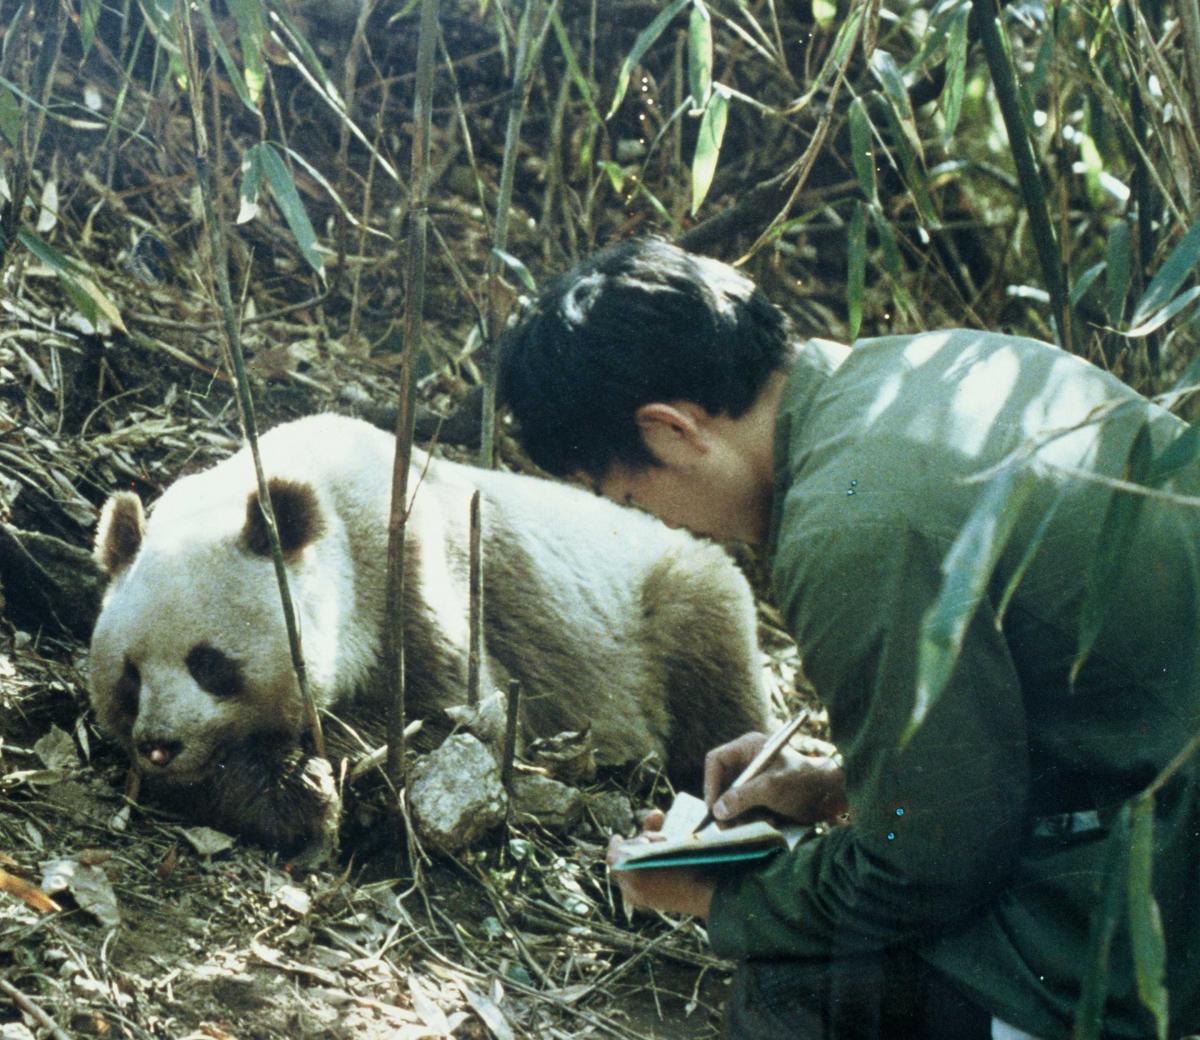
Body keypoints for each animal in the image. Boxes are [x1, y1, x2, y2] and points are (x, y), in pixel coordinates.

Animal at [87, 415, 768, 854]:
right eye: (130, 674)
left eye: (209, 662)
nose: (159, 743)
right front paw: (284, 789)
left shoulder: (411, 573)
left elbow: (453, 723)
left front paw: (317, 778)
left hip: (668, 603)